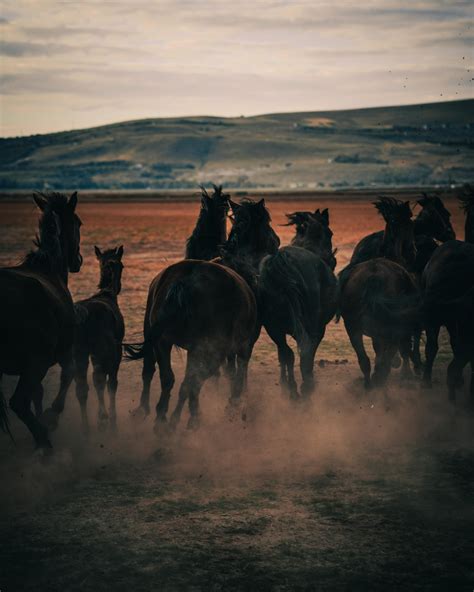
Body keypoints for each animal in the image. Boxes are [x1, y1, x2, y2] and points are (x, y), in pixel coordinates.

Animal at [0, 192, 82, 450]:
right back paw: (44, 442)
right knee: (18, 402)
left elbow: (38, 393)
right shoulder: (62, 353)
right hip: (37, 361)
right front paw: (51, 416)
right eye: (78, 223)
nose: (77, 261)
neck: (49, 269)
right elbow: (68, 375)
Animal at [72, 243, 124, 432]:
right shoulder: (116, 349)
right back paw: (103, 417)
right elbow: (112, 383)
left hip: (79, 353)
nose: (119, 287)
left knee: (81, 387)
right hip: (99, 350)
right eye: (122, 266)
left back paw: (86, 428)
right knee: (99, 378)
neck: (106, 294)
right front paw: (111, 417)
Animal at [122, 260, 256, 430]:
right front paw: (191, 417)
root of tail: (185, 280)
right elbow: (196, 381)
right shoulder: (232, 351)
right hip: (206, 351)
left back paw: (156, 416)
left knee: (161, 375)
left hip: (160, 341)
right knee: (188, 380)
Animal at [258, 208, 338, 398]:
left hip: (273, 328)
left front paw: (284, 383)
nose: (333, 261)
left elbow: (283, 356)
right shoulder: (318, 329)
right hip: (307, 327)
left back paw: (292, 390)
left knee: (287, 353)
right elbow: (309, 355)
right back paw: (305, 388)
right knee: (304, 354)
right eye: (330, 233)